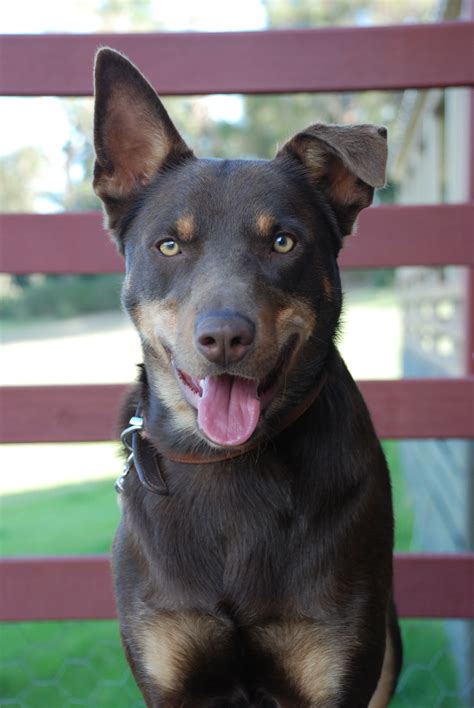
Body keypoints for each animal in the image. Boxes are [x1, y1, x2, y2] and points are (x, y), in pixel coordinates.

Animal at [93, 47, 404, 704]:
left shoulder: (336, 661)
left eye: (283, 242)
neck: (229, 467)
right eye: (168, 246)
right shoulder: (167, 667)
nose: (224, 338)